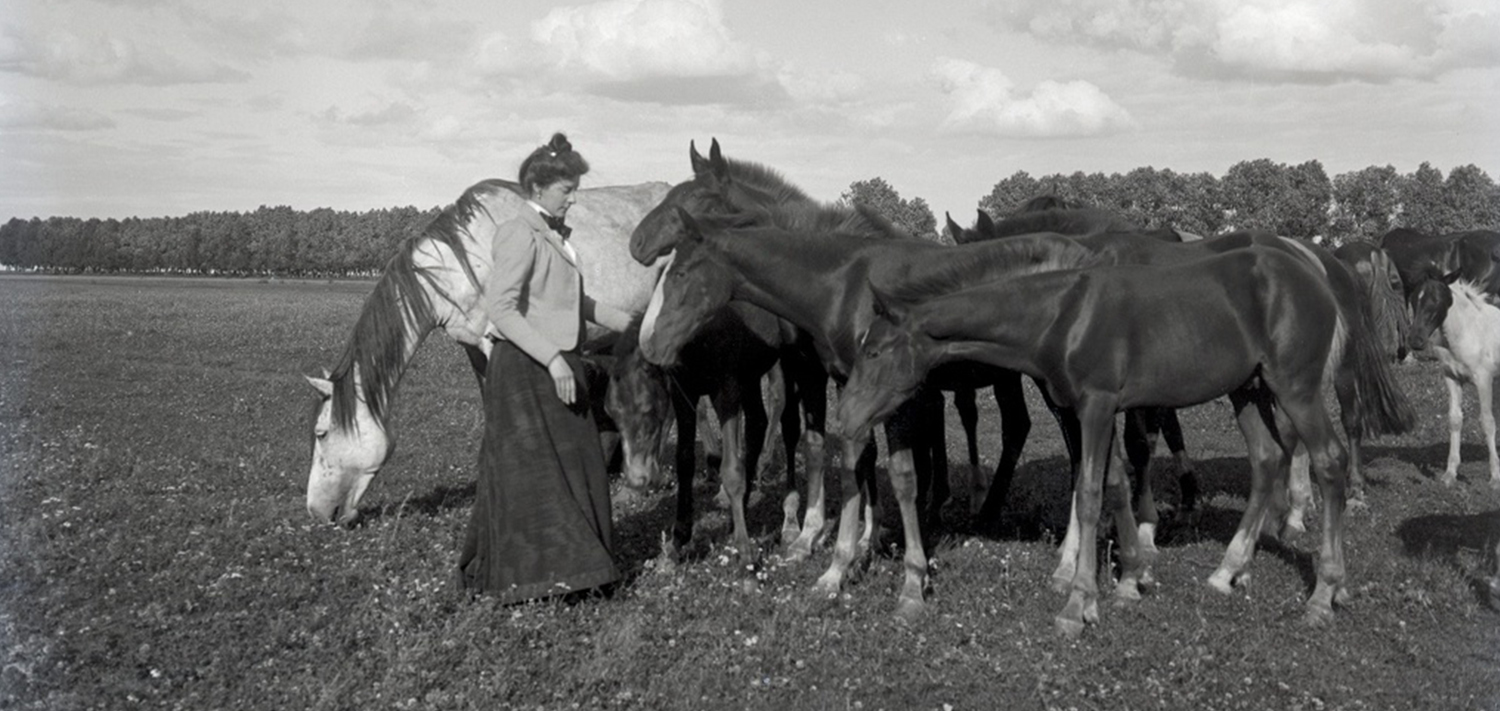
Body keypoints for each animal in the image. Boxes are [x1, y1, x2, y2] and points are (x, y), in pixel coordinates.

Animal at [846, 247, 1362, 636]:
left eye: (875, 351)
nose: (845, 419)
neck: (1062, 316)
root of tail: (1318, 279)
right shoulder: (1091, 413)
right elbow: (1114, 485)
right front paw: (1129, 579)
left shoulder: (1095, 406)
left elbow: (1091, 493)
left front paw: (1078, 606)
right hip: (1248, 389)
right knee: (1267, 458)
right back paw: (1228, 571)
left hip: (1295, 387)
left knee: (1329, 460)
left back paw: (1325, 593)